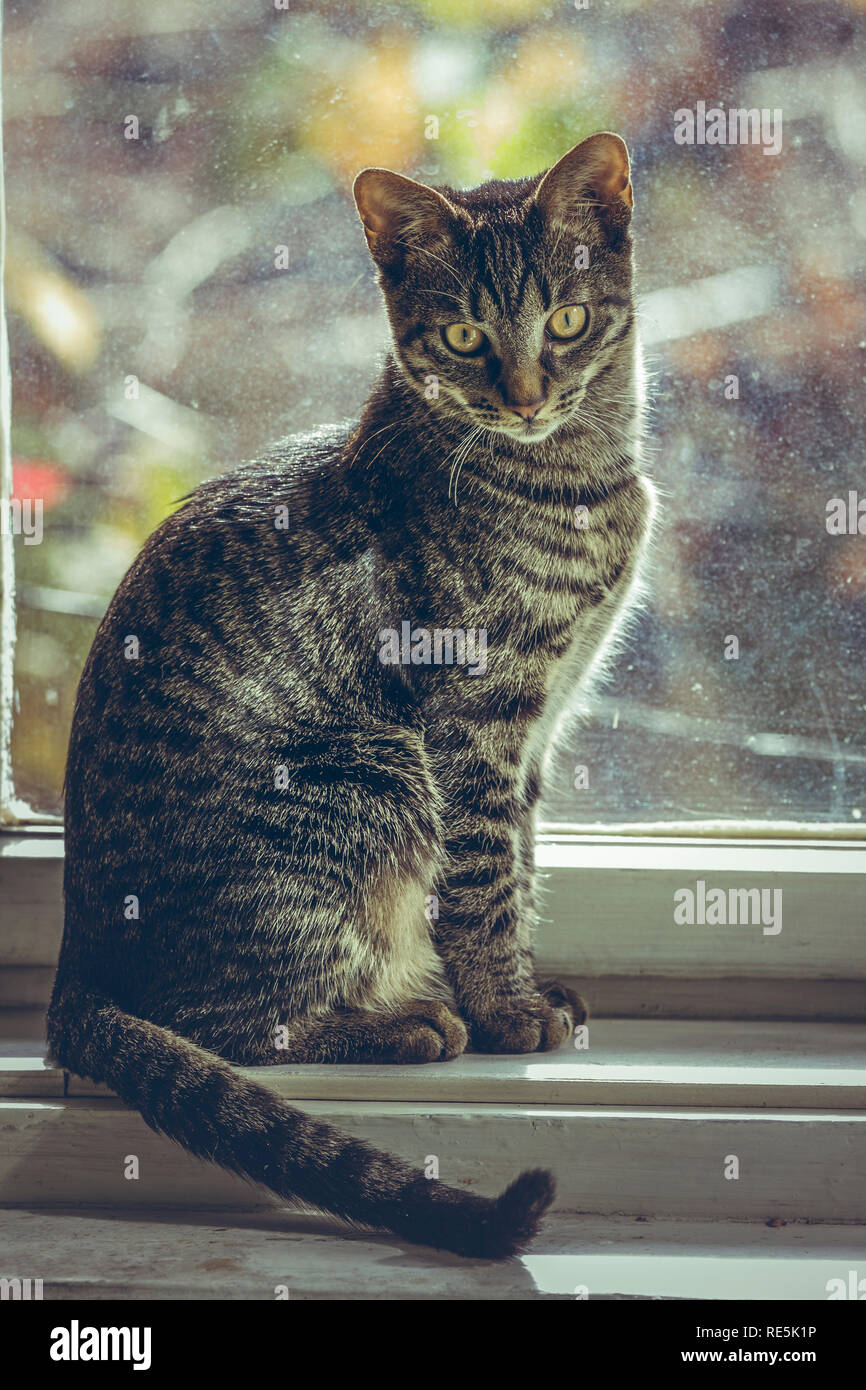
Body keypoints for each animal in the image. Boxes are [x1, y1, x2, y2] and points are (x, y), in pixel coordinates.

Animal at [47, 132, 653, 1262]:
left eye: (566, 319)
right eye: (461, 335)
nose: (522, 395)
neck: (578, 482)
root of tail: (74, 960)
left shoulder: (538, 729)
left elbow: (522, 864)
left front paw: (522, 981)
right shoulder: (472, 723)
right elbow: (482, 881)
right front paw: (501, 1009)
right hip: (366, 778)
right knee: (223, 1023)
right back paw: (403, 1022)